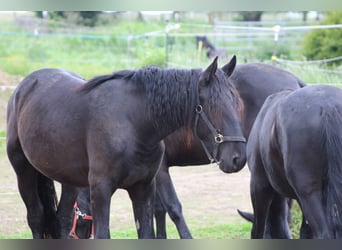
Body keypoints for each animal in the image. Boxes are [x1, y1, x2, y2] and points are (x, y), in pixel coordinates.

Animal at [6, 56, 246, 238]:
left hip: (69, 180)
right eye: (212, 107)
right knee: (36, 217)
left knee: (62, 220)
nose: (238, 158)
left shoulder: (143, 188)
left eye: (236, 104)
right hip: (23, 171)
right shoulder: (101, 190)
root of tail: (24, 86)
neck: (134, 125)